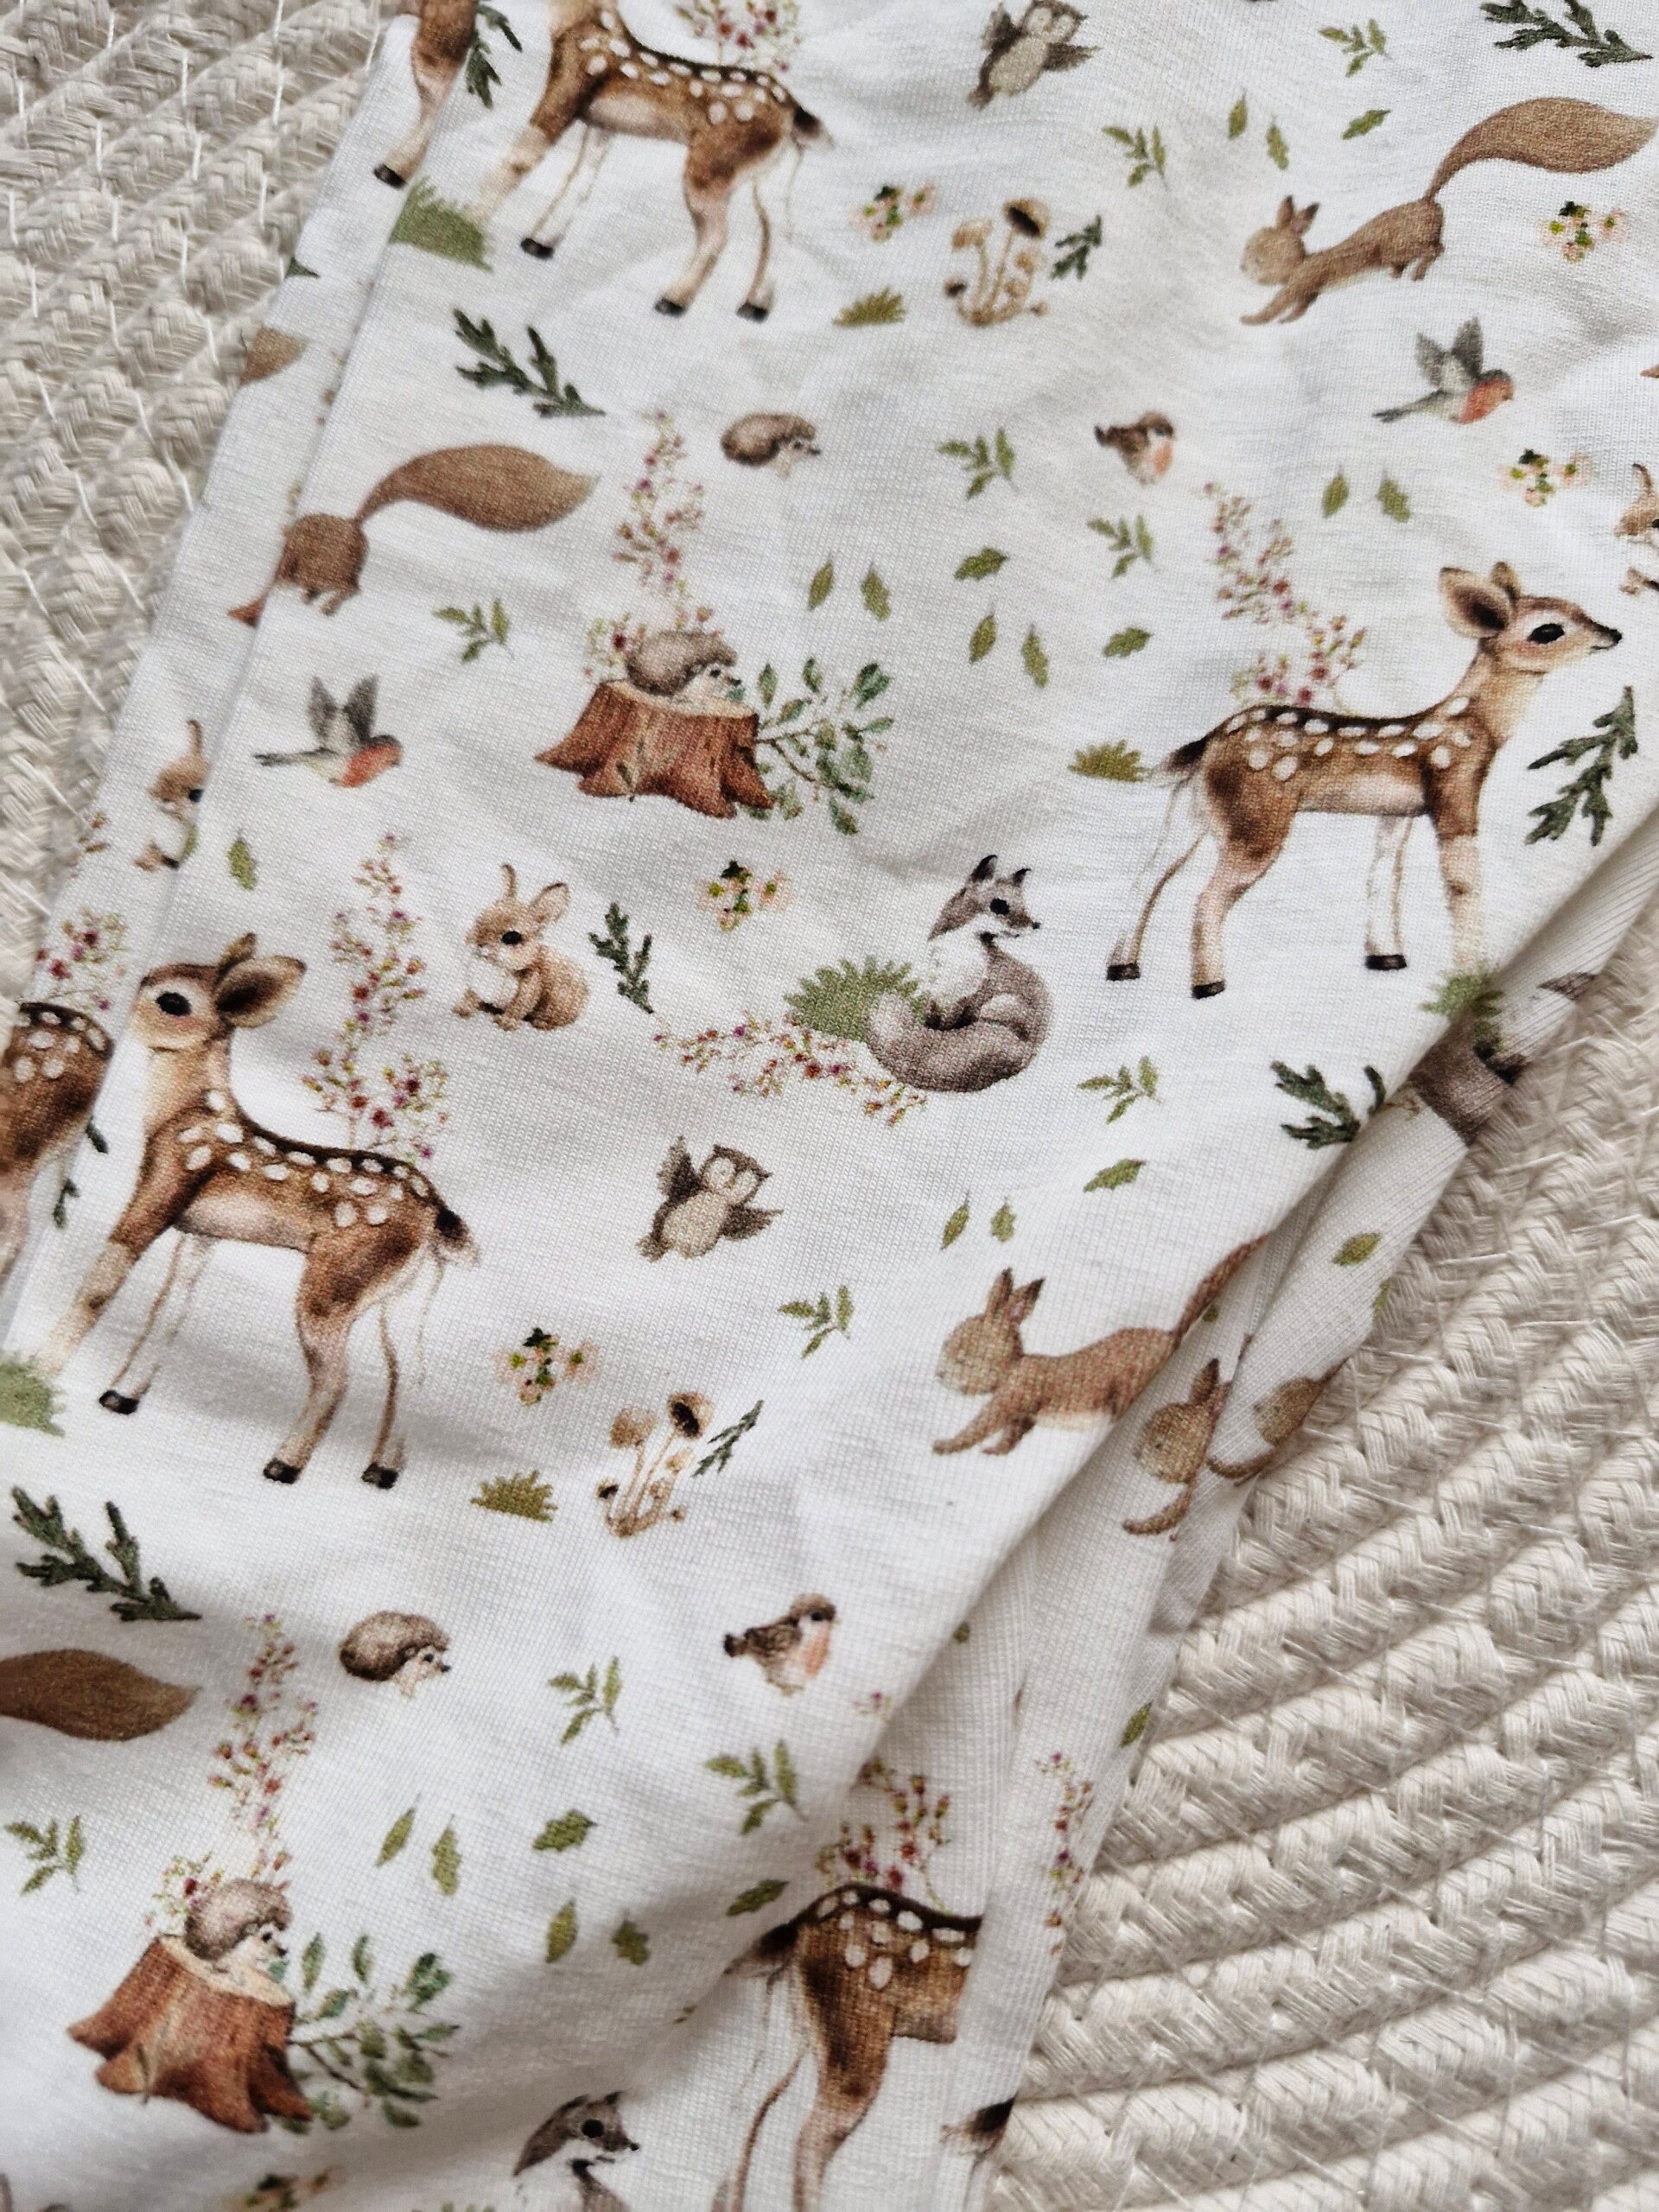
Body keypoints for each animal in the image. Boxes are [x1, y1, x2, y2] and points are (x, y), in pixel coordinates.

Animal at [31, 936, 476, 1489]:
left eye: (172, 1000)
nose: (120, 1019)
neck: (180, 1118)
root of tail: (437, 1214)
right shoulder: (201, 1233)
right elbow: (171, 1306)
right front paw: (119, 1396)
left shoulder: (165, 1186)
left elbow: (102, 1281)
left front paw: (40, 1367)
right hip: (411, 1293)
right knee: (411, 1372)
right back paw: (381, 1471)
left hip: (338, 1282)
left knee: (337, 1377)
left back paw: (283, 1465)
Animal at [454, 864, 588, 1032]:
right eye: (481, 920)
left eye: (512, 937)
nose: (479, 943)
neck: (496, 965)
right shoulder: (475, 989)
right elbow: (470, 998)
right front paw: (461, 1010)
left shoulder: (527, 993)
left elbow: (516, 1010)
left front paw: (505, 1024)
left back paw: (541, 1023)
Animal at [462, 1, 825, 320]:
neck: (577, 25)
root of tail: (795, 114)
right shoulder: (602, 125)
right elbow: (582, 178)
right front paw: (538, 242)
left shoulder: (569, 85)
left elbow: (521, 159)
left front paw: (467, 224)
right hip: (775, 172)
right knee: (780, 229)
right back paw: (754, 306)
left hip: (713, 165)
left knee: (718, 234)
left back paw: (672, 300)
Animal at [1106, 564, 1621, 999]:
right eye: (1549, 630)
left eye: (1578, 607)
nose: (1614, 633)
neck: (1474, 729)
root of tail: (1208, 743)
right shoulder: (1453, 788)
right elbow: (1462, 881)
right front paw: (1469, 968)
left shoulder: (1398, 812)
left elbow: (1383, 876)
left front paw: (1387, 957)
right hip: (1256, 817)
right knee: (1205, 896)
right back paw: (1208, 985)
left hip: (1191, 809)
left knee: (1150, 873)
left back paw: (1122, 967)